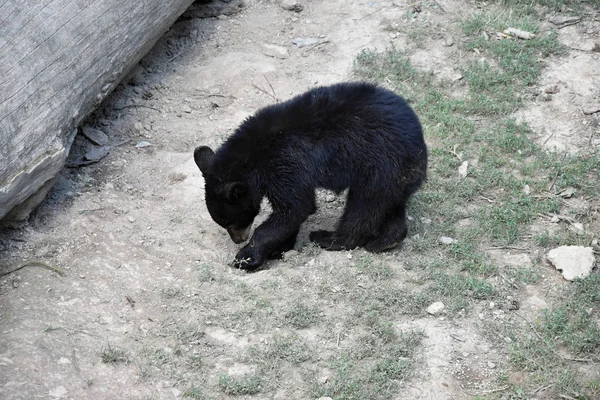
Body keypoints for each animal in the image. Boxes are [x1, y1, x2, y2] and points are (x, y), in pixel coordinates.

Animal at [193, 80, 426, 272]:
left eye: (230, 221)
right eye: (224, 223)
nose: (238, 240)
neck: (253, 155)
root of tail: (420, 143)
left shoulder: (285, 163)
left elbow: (295, 207)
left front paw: (247, 257)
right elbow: (291, 212)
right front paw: (280, 247)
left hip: (381, 165)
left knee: (363, 207)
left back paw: (329, 238)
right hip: (395, 174)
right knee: (388, 204)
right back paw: (385, 241)